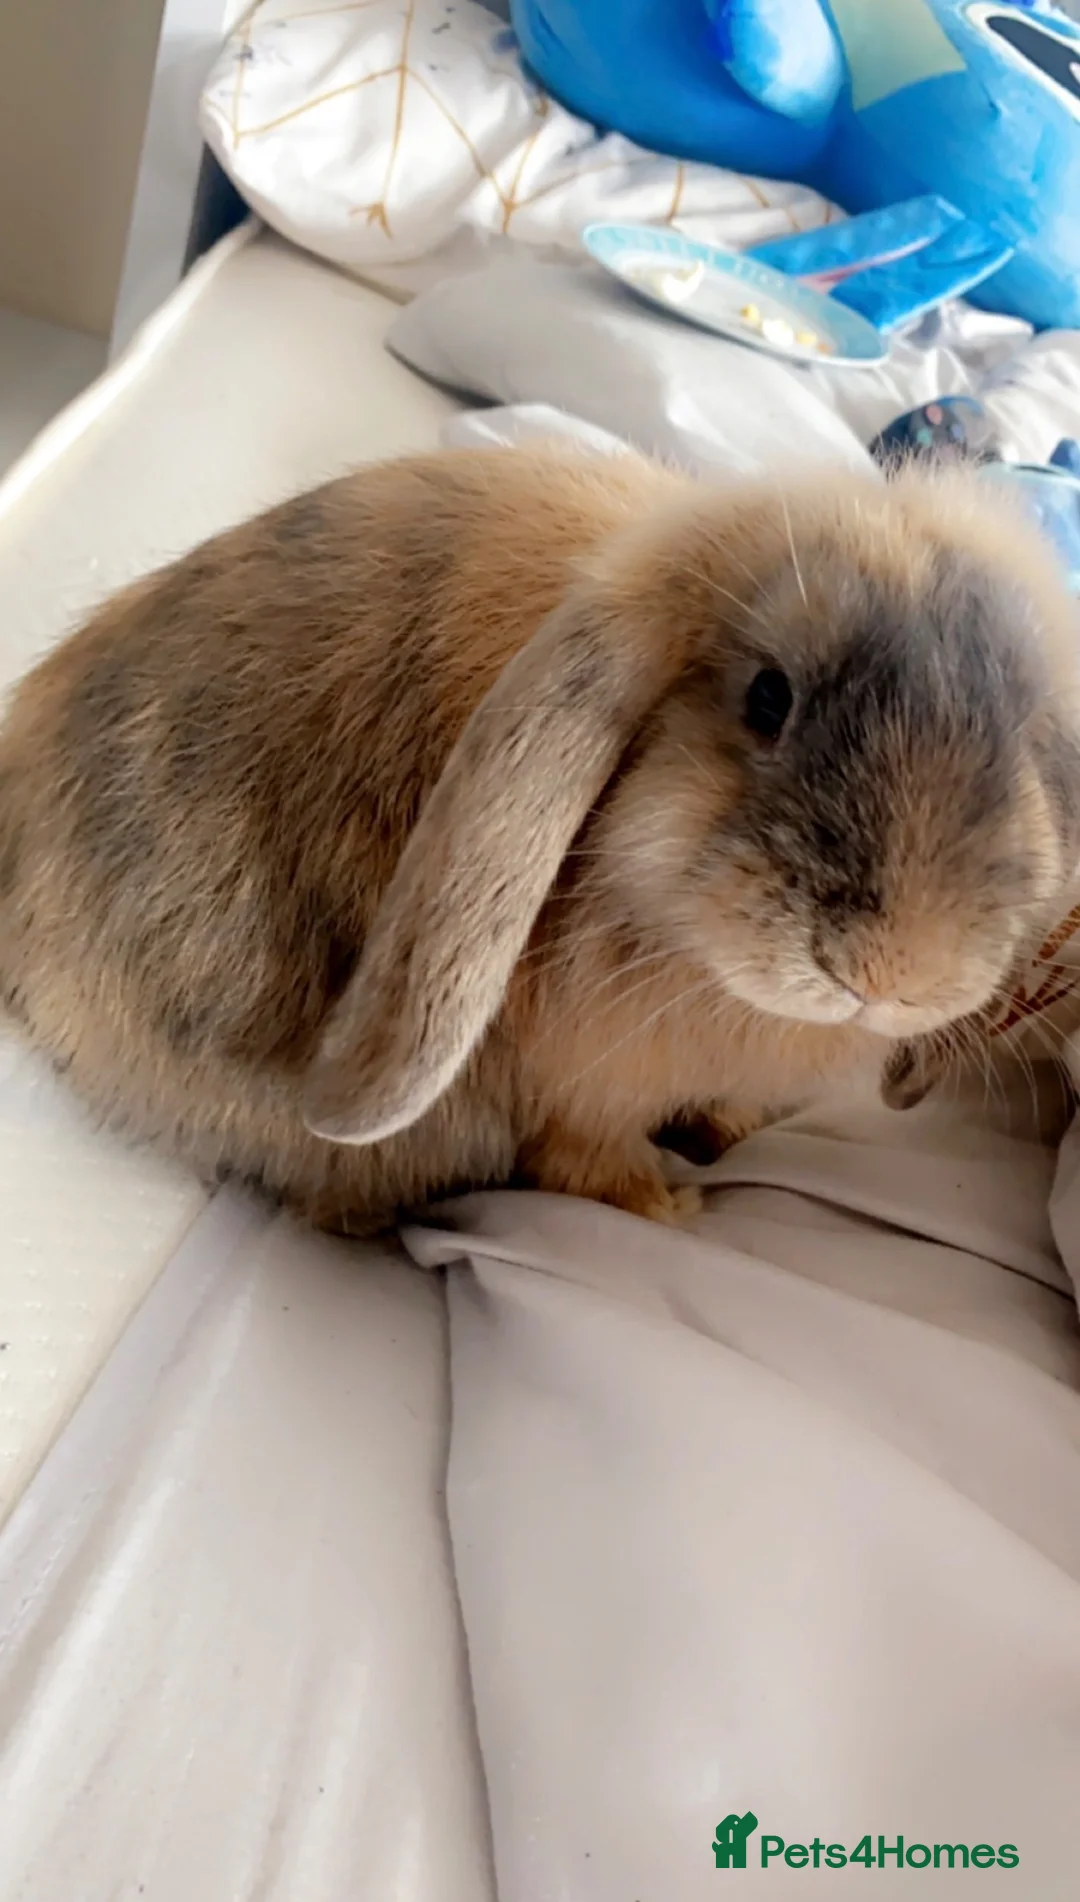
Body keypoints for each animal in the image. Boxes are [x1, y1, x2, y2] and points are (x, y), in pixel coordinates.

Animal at [1, 444, 1079, 1234]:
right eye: (769, 697)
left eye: (1028, 739)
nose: (893, 974)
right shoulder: (577, 1095)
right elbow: (582, 1157)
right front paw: (667, 1205)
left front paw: (724, 1129)